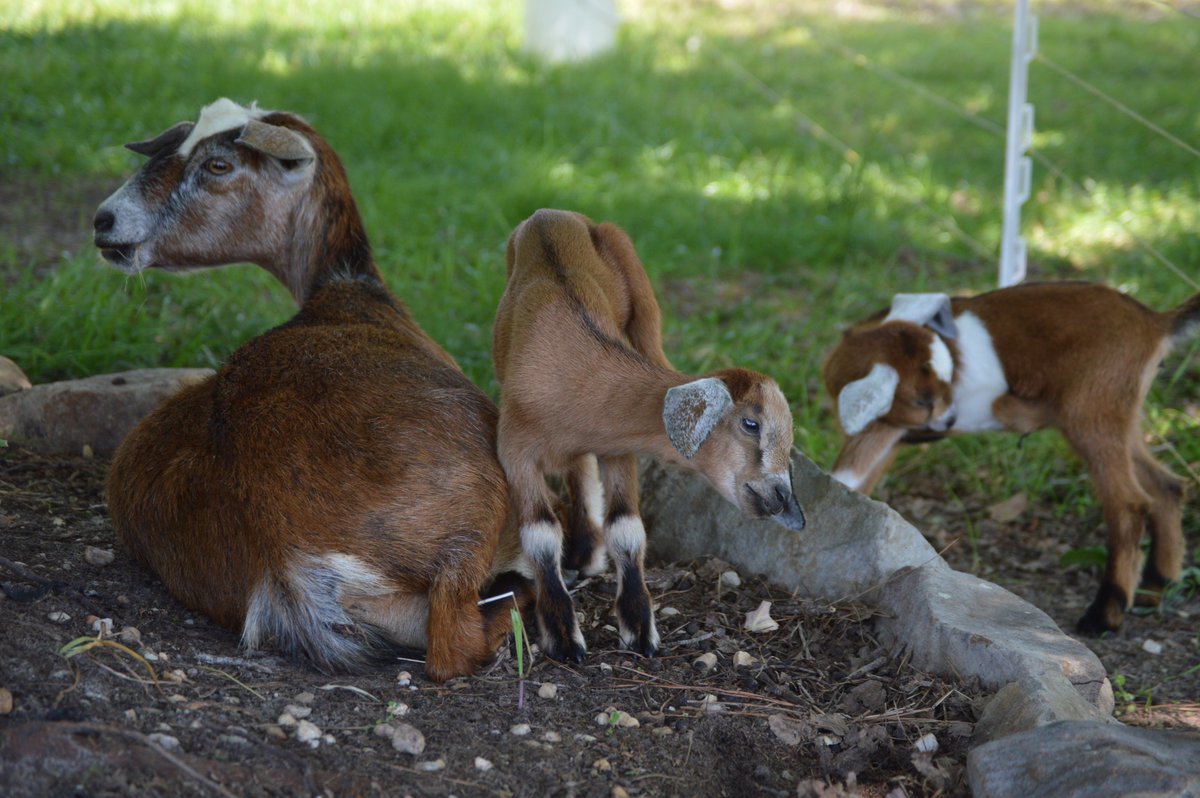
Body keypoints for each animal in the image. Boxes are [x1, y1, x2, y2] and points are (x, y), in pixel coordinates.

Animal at [92, 98, 529, 680]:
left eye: (218, 164)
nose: (105, 219)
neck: (348, 291)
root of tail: (286, 556)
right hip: (477, 524)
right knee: (455, 641)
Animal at [492, 209, 806, 662]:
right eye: (751, 424)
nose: (782, 498)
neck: (578, 376)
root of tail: (549, 213)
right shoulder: (515, 449)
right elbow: (540, 536)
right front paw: (563, 636)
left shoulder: (617, 448)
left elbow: (626, 528)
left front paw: (639, 628)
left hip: (643, 303)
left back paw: (587, 552)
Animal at [823, 282, 1200, 633]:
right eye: (923, 401)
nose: (951, 421)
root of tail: (1154, 322)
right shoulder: (892, 435)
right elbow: (857, 488)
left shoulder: (883, 432)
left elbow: (845, 476)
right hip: (1120, 415)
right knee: (1166, 487)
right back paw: (1156, 587)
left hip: (1091, 412)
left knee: (1129, 504)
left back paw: (1105, 614)